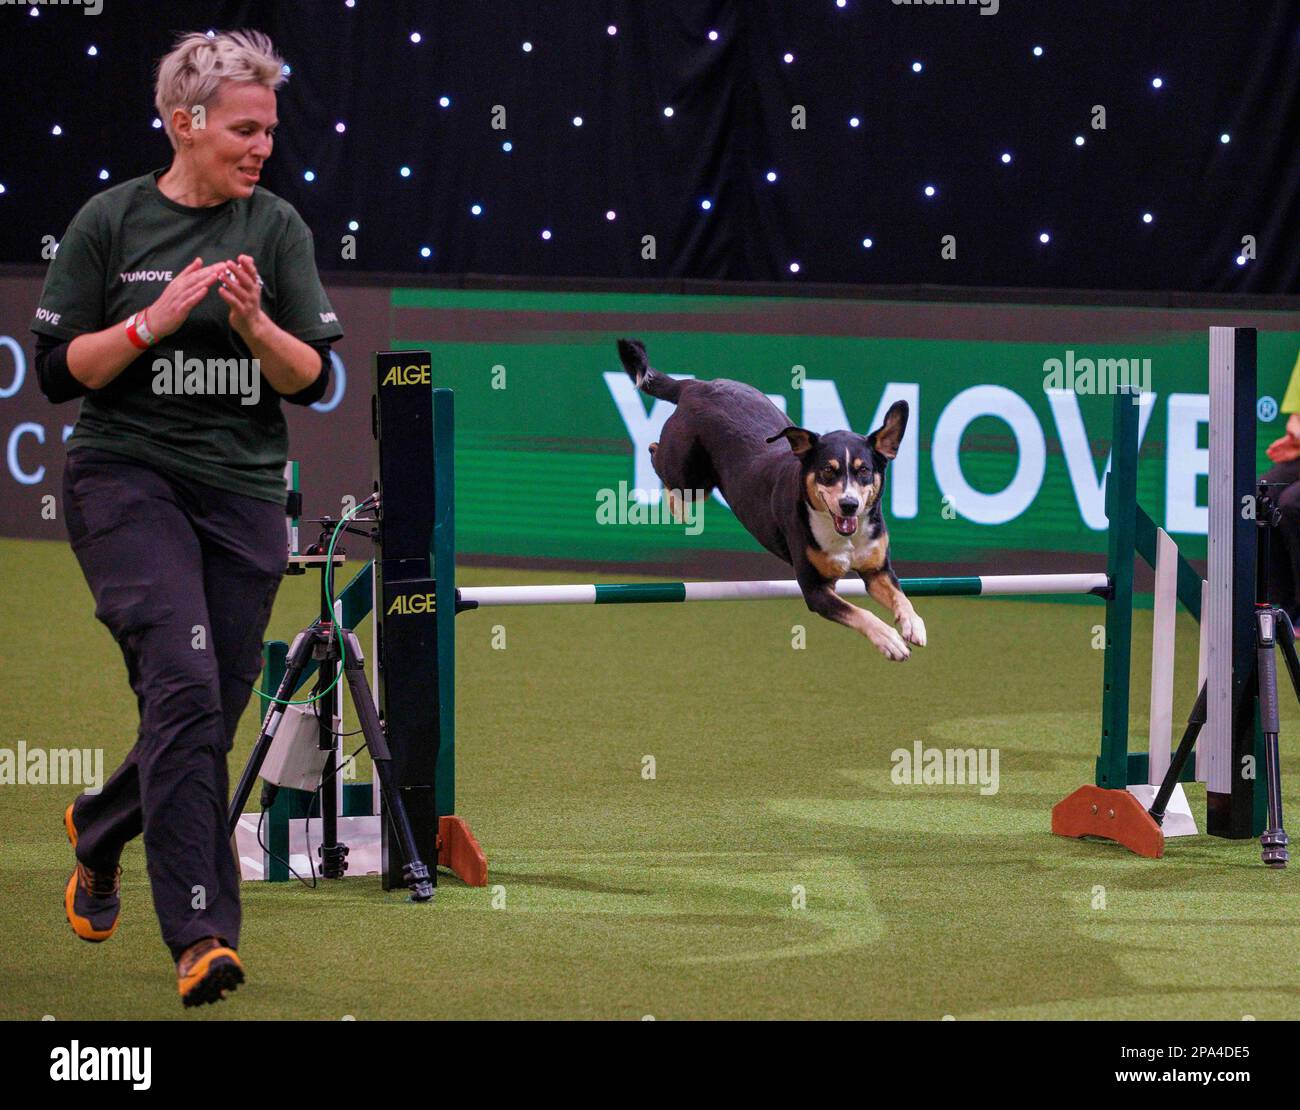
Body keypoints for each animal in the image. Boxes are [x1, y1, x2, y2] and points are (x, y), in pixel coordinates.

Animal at [618, 337, 925, 660]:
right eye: (827, 471)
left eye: (863, 470)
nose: (849, 504)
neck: (841, 536)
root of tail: (696, 385)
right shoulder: (815, 590)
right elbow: (859, 613)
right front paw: (889, 639)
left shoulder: (877, 570)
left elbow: (900, 595)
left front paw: (913, 624)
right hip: (688, 473)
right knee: (656, 453)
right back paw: (677, 506)